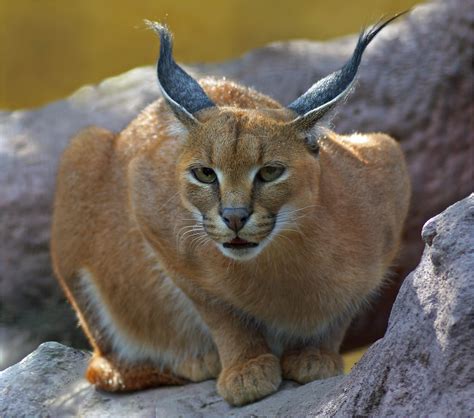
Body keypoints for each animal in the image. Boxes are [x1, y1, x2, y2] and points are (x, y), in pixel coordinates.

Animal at [50, 13, 410, 404]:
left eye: (270, 172)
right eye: (205, 174)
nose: (234, 217)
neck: (287, 254)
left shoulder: (387, 166)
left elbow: (345, 308)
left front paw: (315, 354)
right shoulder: (148, 206)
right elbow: (219, 310)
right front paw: (246, 368)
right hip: (82, 150)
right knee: (102, 364)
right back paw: (190, 360)